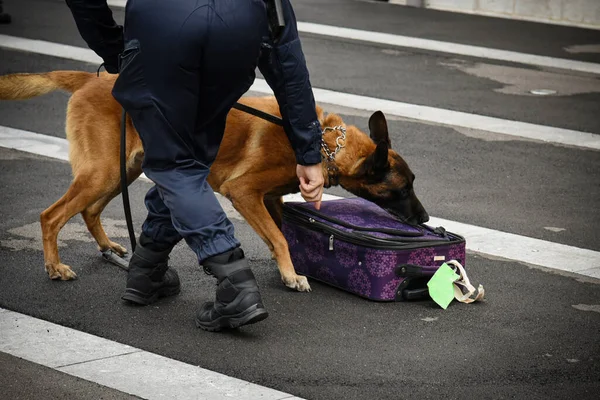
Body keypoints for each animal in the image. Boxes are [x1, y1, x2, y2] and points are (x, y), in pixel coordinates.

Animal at [0, 70, 432, 292]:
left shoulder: (271, 199)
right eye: (404, 188)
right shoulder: (244, 193)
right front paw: (291, 274)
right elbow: (278, 238)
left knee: (89, 210)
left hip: (121, 171)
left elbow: (281, 235)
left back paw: (108, 247)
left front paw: (289, 267)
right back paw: (55, 268)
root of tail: (91, 78)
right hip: (104, 172)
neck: (327, 144)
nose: (426, 220)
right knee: (51, 216)